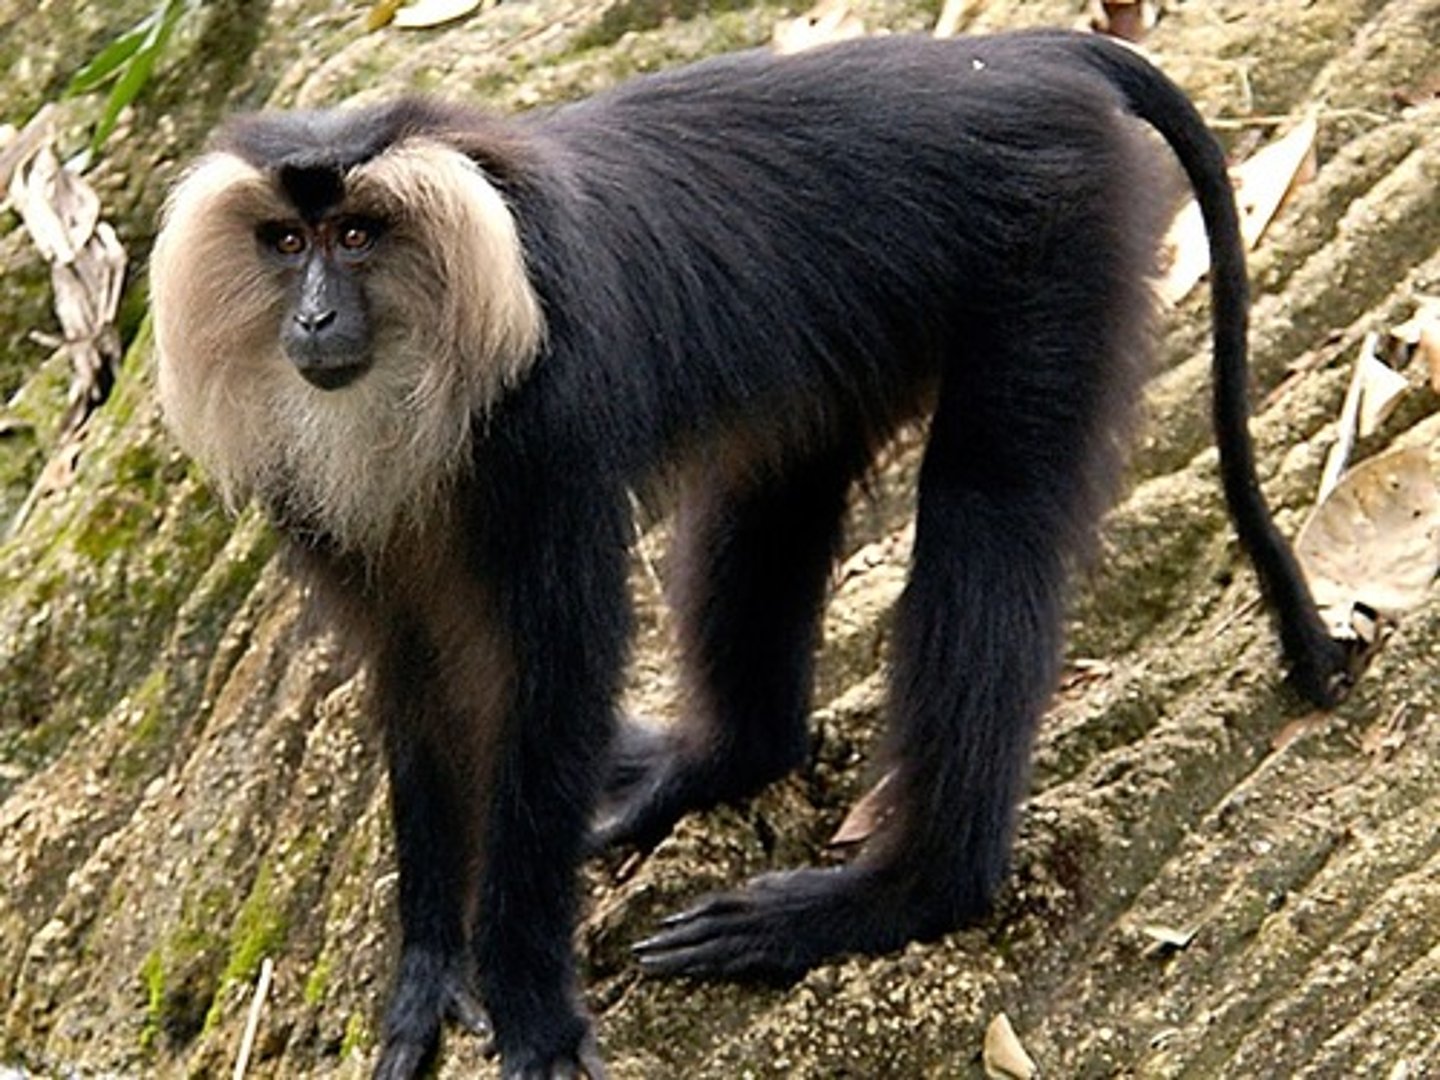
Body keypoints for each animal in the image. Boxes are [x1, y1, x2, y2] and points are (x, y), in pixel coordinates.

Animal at [149, 29, 1356, 1080]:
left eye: (357, 237)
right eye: (287, 242)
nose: (312, 320)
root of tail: (1015, 52)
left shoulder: (551, 420)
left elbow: (556, 672)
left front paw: (533, 1011)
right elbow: (420, 683)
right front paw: (430, 973)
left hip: (1056, 240)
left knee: (988, 513)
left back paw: (910, 891)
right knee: (773, 484)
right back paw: (720, 761)